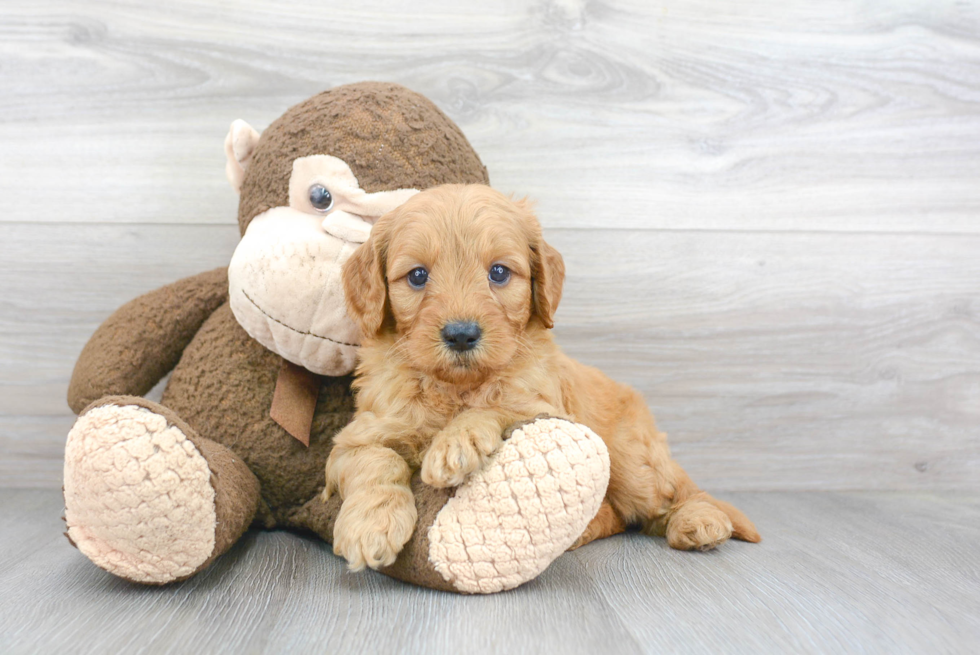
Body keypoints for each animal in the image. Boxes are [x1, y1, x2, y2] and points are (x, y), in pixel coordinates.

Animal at [326, 183, 760, 568]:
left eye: (499, 272)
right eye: (417, 276)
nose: (461, 334)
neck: (457, 388)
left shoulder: (549, 410)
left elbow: (499, 407)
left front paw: (456, 442)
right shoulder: (357, 437)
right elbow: (375, 462)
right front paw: (371, 526)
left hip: (632, 461)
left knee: (665, 499)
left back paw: (698, 520)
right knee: (616, 515)